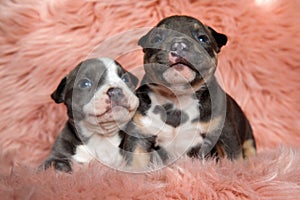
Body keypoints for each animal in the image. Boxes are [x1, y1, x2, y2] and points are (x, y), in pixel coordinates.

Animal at [123, 15, 256, 169]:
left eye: (202, 38)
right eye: (157, 38)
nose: (179, 45)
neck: (177, 97)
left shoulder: (226, 135)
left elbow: (233, 161)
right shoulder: (139, 137)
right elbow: (135, 162)